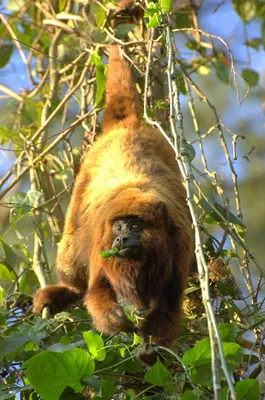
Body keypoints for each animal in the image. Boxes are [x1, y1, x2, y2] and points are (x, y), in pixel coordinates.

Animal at [33, 46, 194, 356]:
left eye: (134, 227)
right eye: (118, 227)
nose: (121, 239)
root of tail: (128, 127)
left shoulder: (180, 241)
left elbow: (169, 301)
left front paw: (151, 350)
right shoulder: (101, 238)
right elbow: (97, 290)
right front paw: (116, 320)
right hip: (82, 186)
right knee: (71, 252)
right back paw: (68, 289)